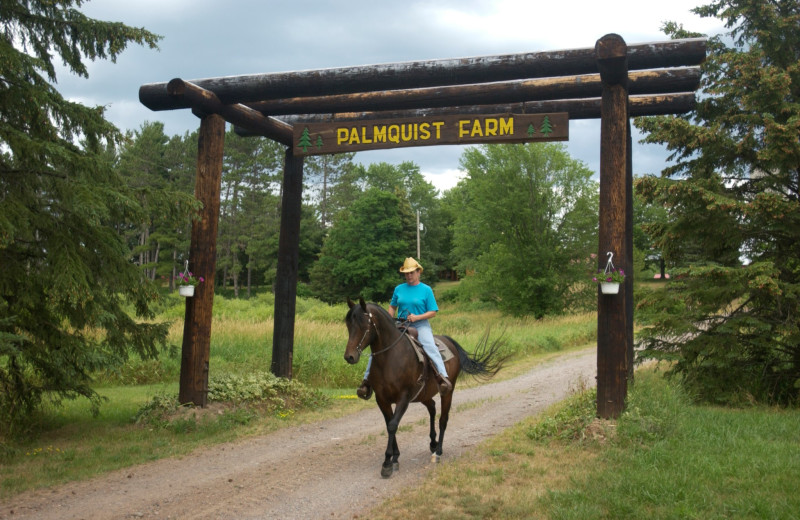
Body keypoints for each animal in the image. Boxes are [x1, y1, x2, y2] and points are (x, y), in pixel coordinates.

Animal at [344, 298, 506, 478]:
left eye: (364, 324)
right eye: (348, 324)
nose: (349, 356)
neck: (390, 358)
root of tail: (449, 342)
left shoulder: (404, 398)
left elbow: (393, 425)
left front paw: (387, 463)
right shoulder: (382, 399)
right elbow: (389, 425)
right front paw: (395, 457)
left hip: (447, 392)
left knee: (443, 419)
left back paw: (438, 451)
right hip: (424, 394)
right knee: (432, 408)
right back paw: (433, 443)